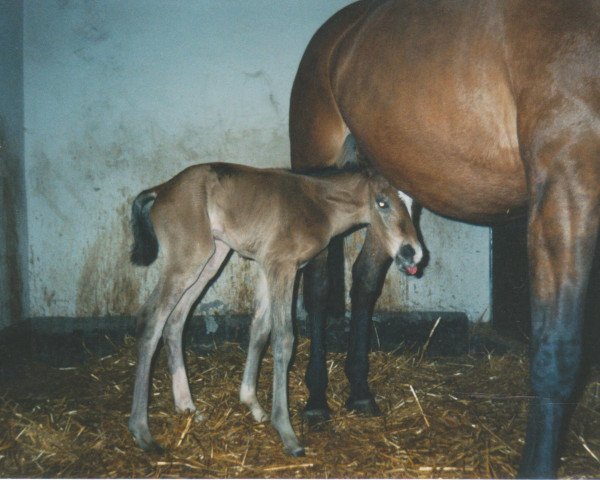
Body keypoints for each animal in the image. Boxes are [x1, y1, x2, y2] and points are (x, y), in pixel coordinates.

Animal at [129, 161, 424, 454]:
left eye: (414, 206)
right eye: (382, 202)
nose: (413, 253)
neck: (318, 204)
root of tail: (162, 189)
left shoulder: (265, 266)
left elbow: (260, 330)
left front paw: (253, 404)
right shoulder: (282, 266)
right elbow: (283, 339)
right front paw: (286, 431)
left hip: (212, 257)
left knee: (175, 321)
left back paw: (187, 407)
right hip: (188, 259)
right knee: (150, 320)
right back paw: (142, 432)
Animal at [288, 0, 596, 476]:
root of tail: (332, 36)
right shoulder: (566, 185)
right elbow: (557, 354)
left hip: (388, 191)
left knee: (364, 282)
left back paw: (360, 392)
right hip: (316, 166)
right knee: (320, 288)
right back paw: (317, 401)